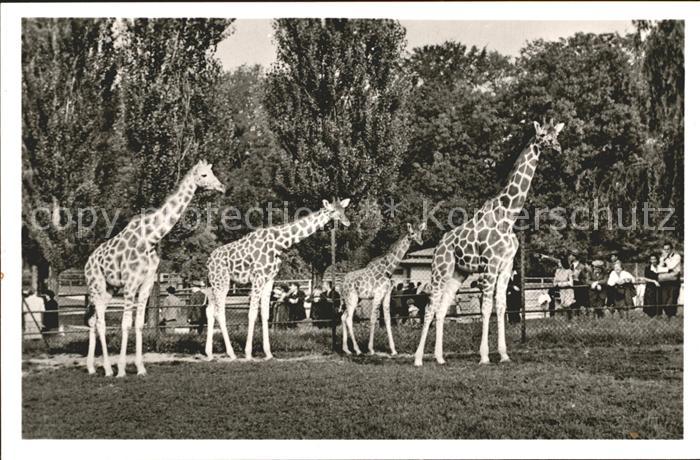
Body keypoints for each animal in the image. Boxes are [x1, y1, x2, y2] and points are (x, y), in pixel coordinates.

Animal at [84, 160, 225, 377]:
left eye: (211, 173)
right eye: (203, 175)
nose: (221, 187)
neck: (150, 239)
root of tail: (87, 264)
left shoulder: (147, 283)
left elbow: (139, 324)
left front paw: (140, 368)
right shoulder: (130, 283)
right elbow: (126, 324)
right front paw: (122, 369)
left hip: (109, 289)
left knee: (93, 321)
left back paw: (92, 368)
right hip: (96, 285)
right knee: (100, 322)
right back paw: (108, 369)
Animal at [205, 199, 351, 361]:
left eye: (343, 210)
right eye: (332, 211)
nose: (347, 222)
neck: (278, 243)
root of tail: (209, 262)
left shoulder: (269, 279)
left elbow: (265, 314)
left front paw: (268, 353)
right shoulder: (258, 278)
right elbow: (252, 314)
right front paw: (248, 353)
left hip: (217, 283)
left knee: (209, 310)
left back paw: (209, 353)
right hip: (221, 281)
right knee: (219, 312)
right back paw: (231, 353)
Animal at [339, 222, 427, 356]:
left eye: (421, 233)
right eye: (412, 233)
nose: (421, 241)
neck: (387, 269)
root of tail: (342, 283)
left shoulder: (386, 295)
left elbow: (387, 318)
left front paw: (393, 350)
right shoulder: (378, 294)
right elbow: (373, 318)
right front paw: (371, 349)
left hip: (355, 299)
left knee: (343, 317)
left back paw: (347, 349)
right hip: (352, 297)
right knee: (348, 318)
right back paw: (357, 350)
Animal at [414, 119, 564, 366]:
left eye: (556, 135)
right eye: (543, 135)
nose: (558, 148)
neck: (508, 216)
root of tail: (438, 246)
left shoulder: (506, 266)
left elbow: (501, 307)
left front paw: (503, 355)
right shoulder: (490, 265)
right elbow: (486, 309)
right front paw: (484, 356)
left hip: (458, 273)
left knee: (442, 309)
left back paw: (439, 357)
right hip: (440, 270)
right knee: (429, 307)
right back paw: (417, 359)